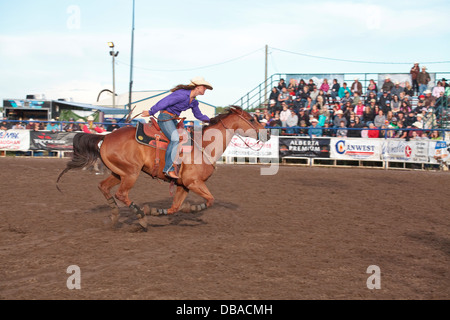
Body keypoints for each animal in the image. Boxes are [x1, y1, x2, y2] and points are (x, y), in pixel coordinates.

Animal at [56, 107, 268, 230]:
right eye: (251, 119)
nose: (265, 134)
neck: (204, 144)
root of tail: (105, 136)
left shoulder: (183, 185)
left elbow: (174, 208)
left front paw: (157, 211)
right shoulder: (193, 182)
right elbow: (209, 200)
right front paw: (190, 208)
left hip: (118, 173)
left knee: (104, 187)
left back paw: (115, 217)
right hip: (131, 173)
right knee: (121, 194)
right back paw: (141, 218)